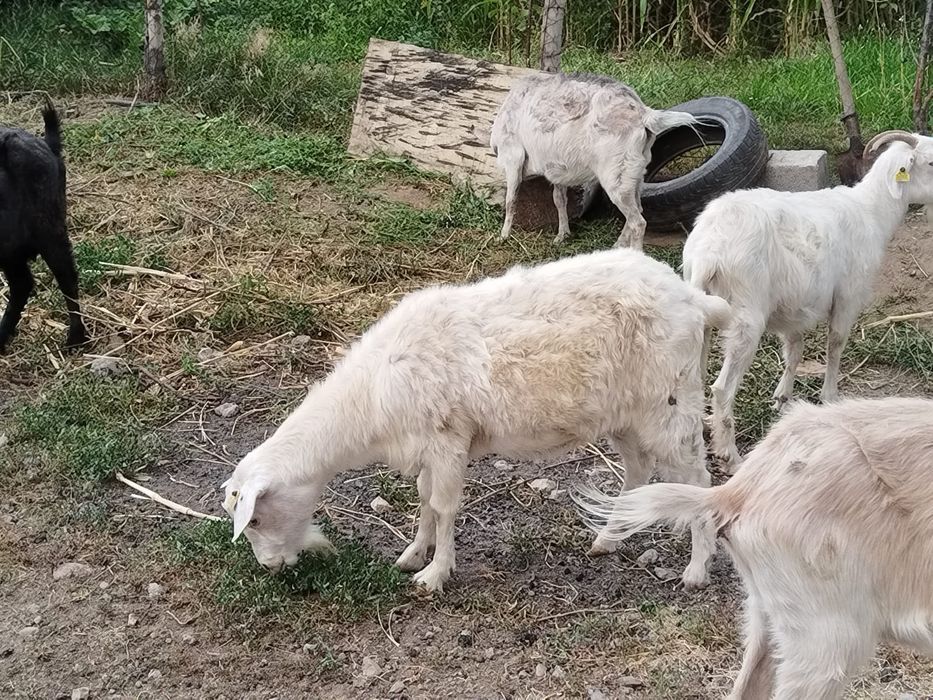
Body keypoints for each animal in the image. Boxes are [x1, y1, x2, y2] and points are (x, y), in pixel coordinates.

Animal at [0, 101, 87, 352]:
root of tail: (47, 144)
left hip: (52, 232)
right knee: (22, 284)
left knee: (67, 278)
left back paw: (75, 338)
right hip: (11, 250)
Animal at [221, 248, 732, 593]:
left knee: (699, 480)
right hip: (626, 413)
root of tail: (694, 300)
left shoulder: (447, 439)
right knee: (638, 468)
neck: (372, 393)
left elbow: (444, 505)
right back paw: (608, 538)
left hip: (671, 402)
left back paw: (696, 570)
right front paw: (413, 555)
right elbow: (424, 500)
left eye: (255, 519)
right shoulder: (427, 446)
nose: (269, 567)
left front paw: (434, 575)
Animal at [489, 72, 697, 250]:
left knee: (638, 222)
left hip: (615, 177)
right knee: (636, 212)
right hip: (635, 174)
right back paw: (617, 245)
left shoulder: (513, 156)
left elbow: (511, 199)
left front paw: (504, 235)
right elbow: (559, 200)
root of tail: (643, 113)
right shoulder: (557, 169)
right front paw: (562, 235)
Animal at [682, 130, 933, 469]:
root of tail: (708, 253)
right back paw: (730, 455)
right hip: (746, 315)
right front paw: (829, 396)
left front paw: (782, 398)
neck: (871, 212)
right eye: (931, 162)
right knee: (722, 388)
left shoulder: (793, 308)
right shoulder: (848, 294)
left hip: (702, 310)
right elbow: (835, 344)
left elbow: (794, 351)